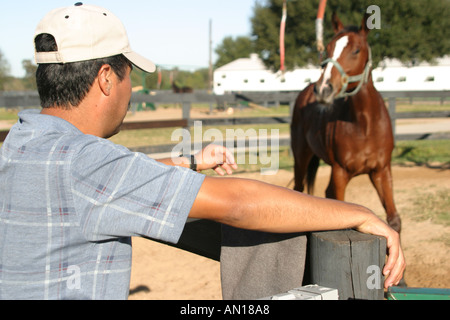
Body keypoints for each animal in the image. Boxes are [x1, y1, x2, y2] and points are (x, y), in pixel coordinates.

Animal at [290, 13, 402, 232]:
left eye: (356, 50)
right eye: (329, 47)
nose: (323, 89)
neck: (365, 126)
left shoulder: (382, 171)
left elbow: (394, 220)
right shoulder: (340, 173)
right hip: (301, 156)